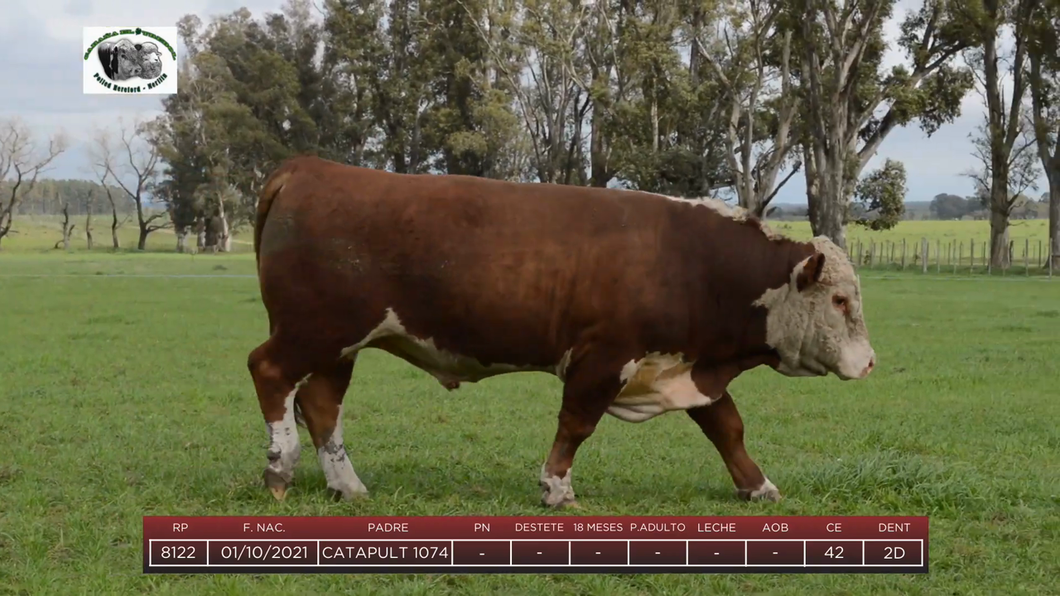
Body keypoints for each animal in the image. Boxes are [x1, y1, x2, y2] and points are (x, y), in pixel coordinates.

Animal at [248, 153, 877, 504]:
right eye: (840, 300)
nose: (870, 362)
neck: (694, 262)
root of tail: (308, 167)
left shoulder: (685, 366)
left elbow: (728, 428)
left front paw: (758, 486)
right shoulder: (604, 356)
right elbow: (576, 424)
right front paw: (557, 488)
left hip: (340, 344)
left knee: (322, 404)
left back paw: (347, 486)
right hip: (315, 330)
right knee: (270, 372)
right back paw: (280, 469)